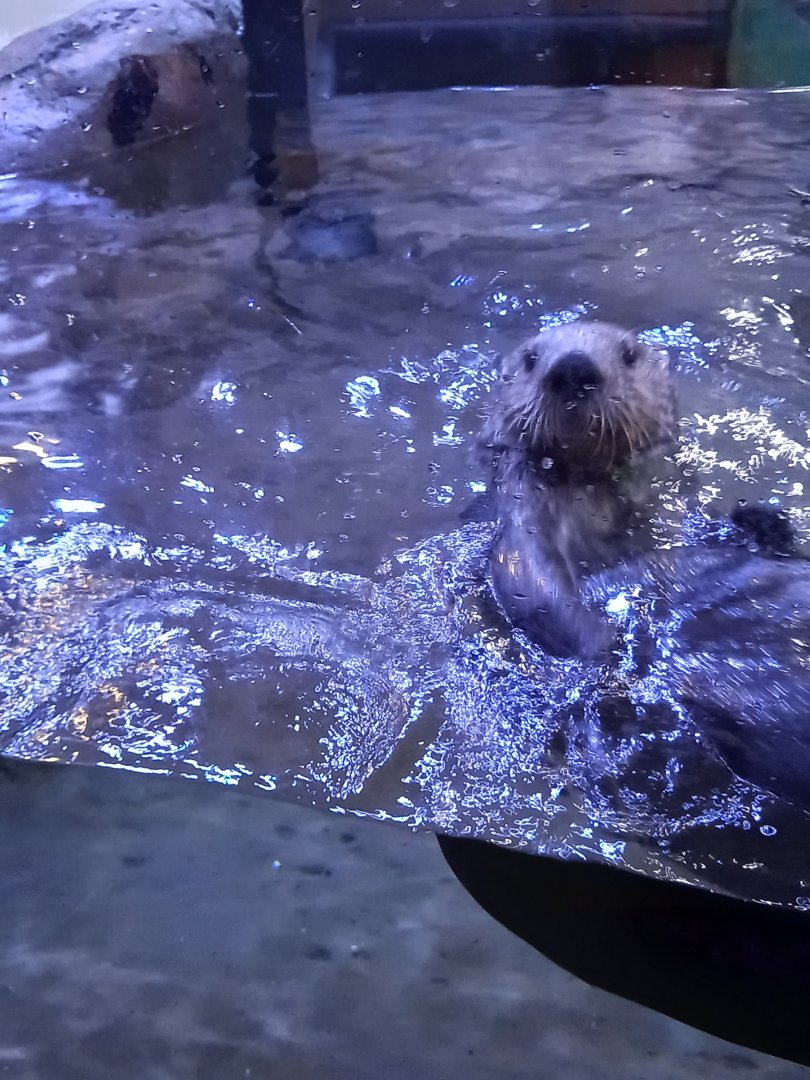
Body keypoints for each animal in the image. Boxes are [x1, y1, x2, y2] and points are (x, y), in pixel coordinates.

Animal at [479, 320, 677, 660]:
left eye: (629, 355)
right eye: (530, 358)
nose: (573, 367)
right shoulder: (525, 504)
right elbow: (527, 574)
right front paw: (603, 638)